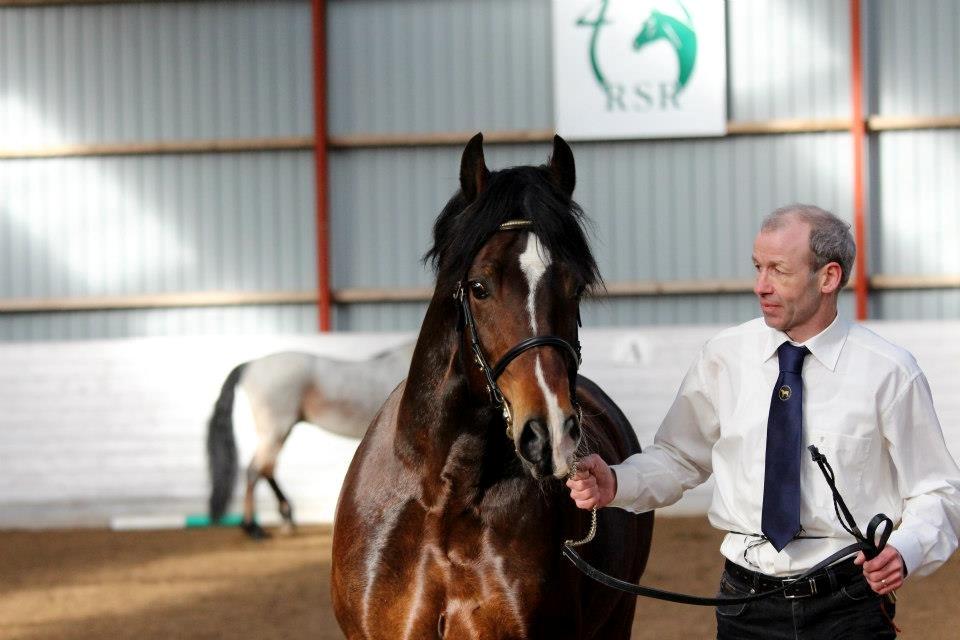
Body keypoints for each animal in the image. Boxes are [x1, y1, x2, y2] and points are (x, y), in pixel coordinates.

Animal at [206, 342, 412, 536]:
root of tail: (250, 365)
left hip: (281, 431)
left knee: (267, 468)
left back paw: (286, 519)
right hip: (275, 430)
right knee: (255, 470)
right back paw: (253, 528)